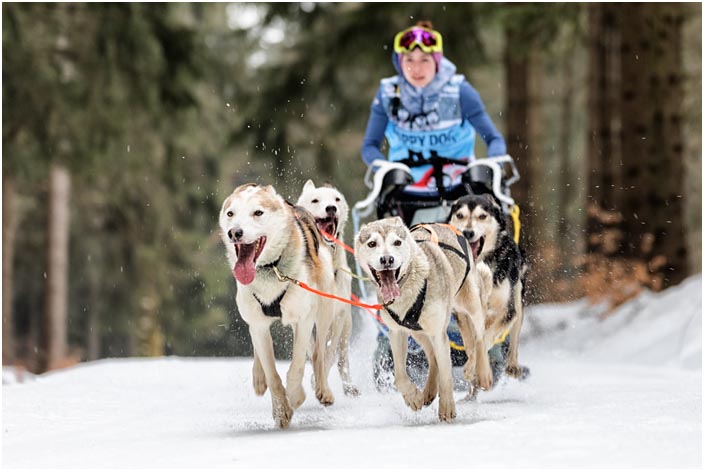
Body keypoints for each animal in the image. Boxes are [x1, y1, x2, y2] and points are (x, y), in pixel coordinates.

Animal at [221, 184, 340, 432]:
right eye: (230, 214)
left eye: (258, 212)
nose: (234, 232)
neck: (271, 268)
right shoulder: (258, 325)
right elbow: (272, 373)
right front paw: (280, 409)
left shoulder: (304, 319)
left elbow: (297, 366)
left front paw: (294, 396)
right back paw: (258, 376)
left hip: (324, 308)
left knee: (318, 353)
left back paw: (323, 389)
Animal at [296, 181, 360, 398]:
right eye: (315, 200)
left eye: (336, 199)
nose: (331, 208)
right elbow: (311, 347)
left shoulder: (338, 315)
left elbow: (329, 353)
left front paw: (318, 379)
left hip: (347, 326)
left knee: (342, 359)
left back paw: (349, 385)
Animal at [354, 216, 492, 422]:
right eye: (372, 244)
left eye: (397, 242)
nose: (387, 259)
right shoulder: (397, 332)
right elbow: (400, 375)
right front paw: (413, 397)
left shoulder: (439, 333)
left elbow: (446, 375)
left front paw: (447, 407)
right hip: (417, 331)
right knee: (433, 356)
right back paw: (428, 391)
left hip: (471, 302)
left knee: (479, 338)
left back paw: (480, 372)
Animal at [452, 194, 528, 382]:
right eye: (460, 215)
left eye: (482, 216)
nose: (467, 232)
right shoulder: (462, 311)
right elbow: (470, 342)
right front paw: (474, 367)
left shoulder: (507, 310)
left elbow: (486, 337)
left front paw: (473, 368)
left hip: (517, 300)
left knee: (513, 337)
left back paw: (512, 365)